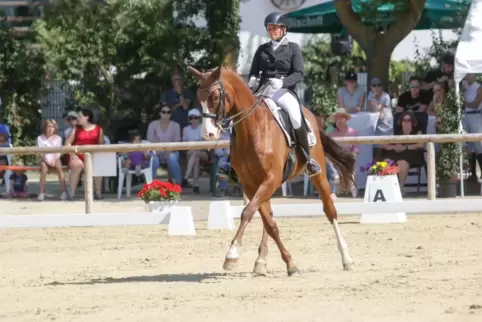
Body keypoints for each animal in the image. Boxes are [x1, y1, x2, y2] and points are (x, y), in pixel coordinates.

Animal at [190, 65, 356, 276]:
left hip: (317, 175)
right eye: (199, 97)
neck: (253, 129)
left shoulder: (271, 178)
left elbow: (247, 213)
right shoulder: (251, 184)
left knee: (330, 211)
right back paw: (261, 260)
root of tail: (309, 114)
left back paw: (347, 258)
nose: (208, 134)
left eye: (215, 96)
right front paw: (289, 263)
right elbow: (268, 223)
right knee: (268, 217)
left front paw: (232, 255)